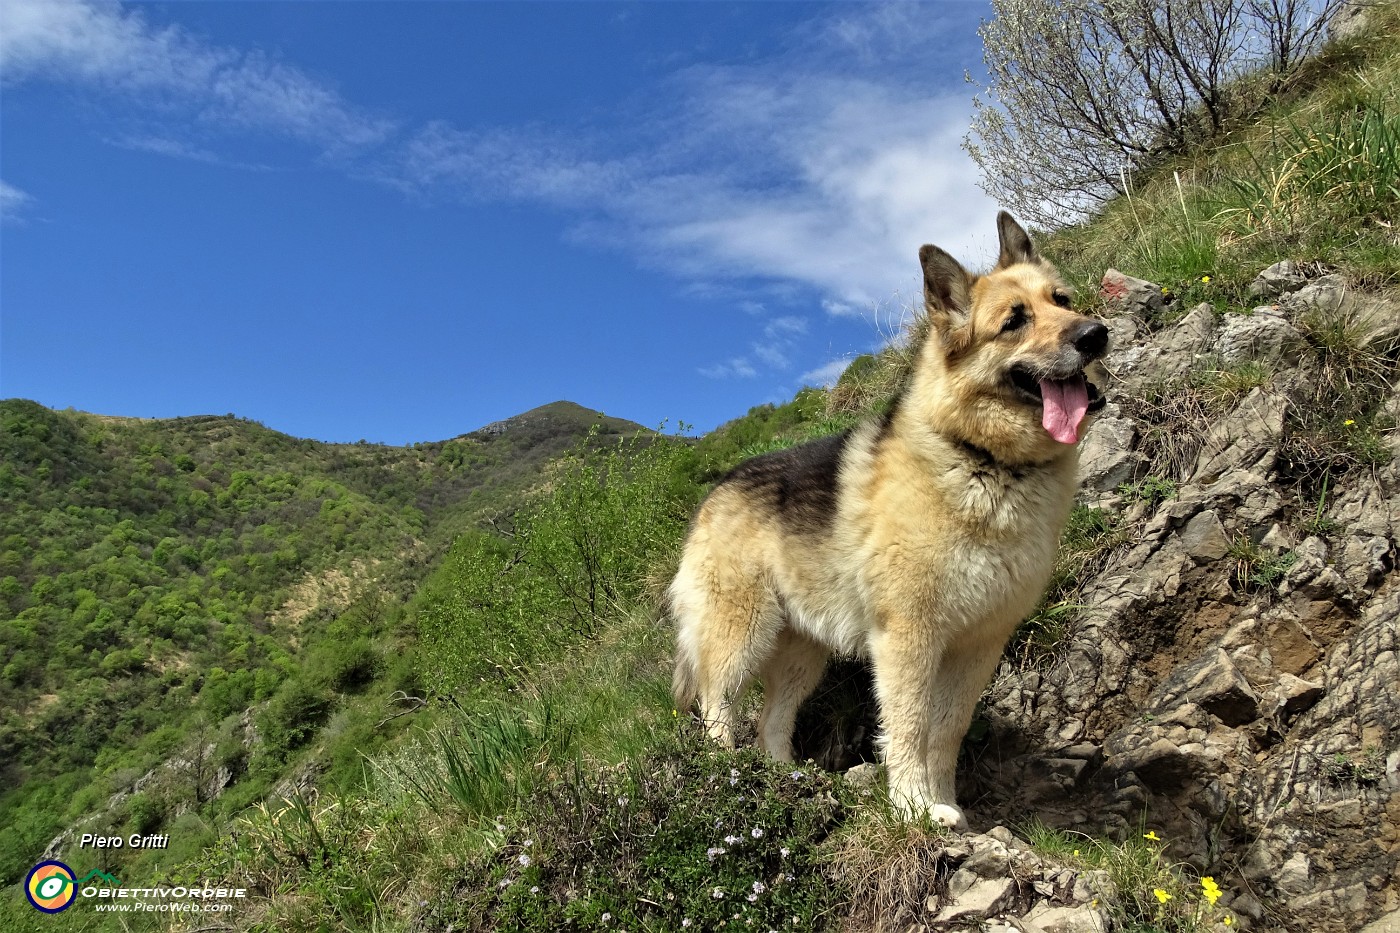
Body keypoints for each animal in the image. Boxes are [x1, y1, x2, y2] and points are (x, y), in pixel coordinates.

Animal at [672, 212, 1108, 829]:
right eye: (1014, 322)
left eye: (1062, 300)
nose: (1095, 334)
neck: (983, 461)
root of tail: (718, 489)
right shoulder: (908, 639)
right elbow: (908, 726)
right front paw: (912, 807)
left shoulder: (977, 648)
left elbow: (946, 731)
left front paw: (946, 801)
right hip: (741, 635)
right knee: (717, 710)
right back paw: (726, 780)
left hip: (803, 654)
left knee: (771, 723)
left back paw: (784, 783)